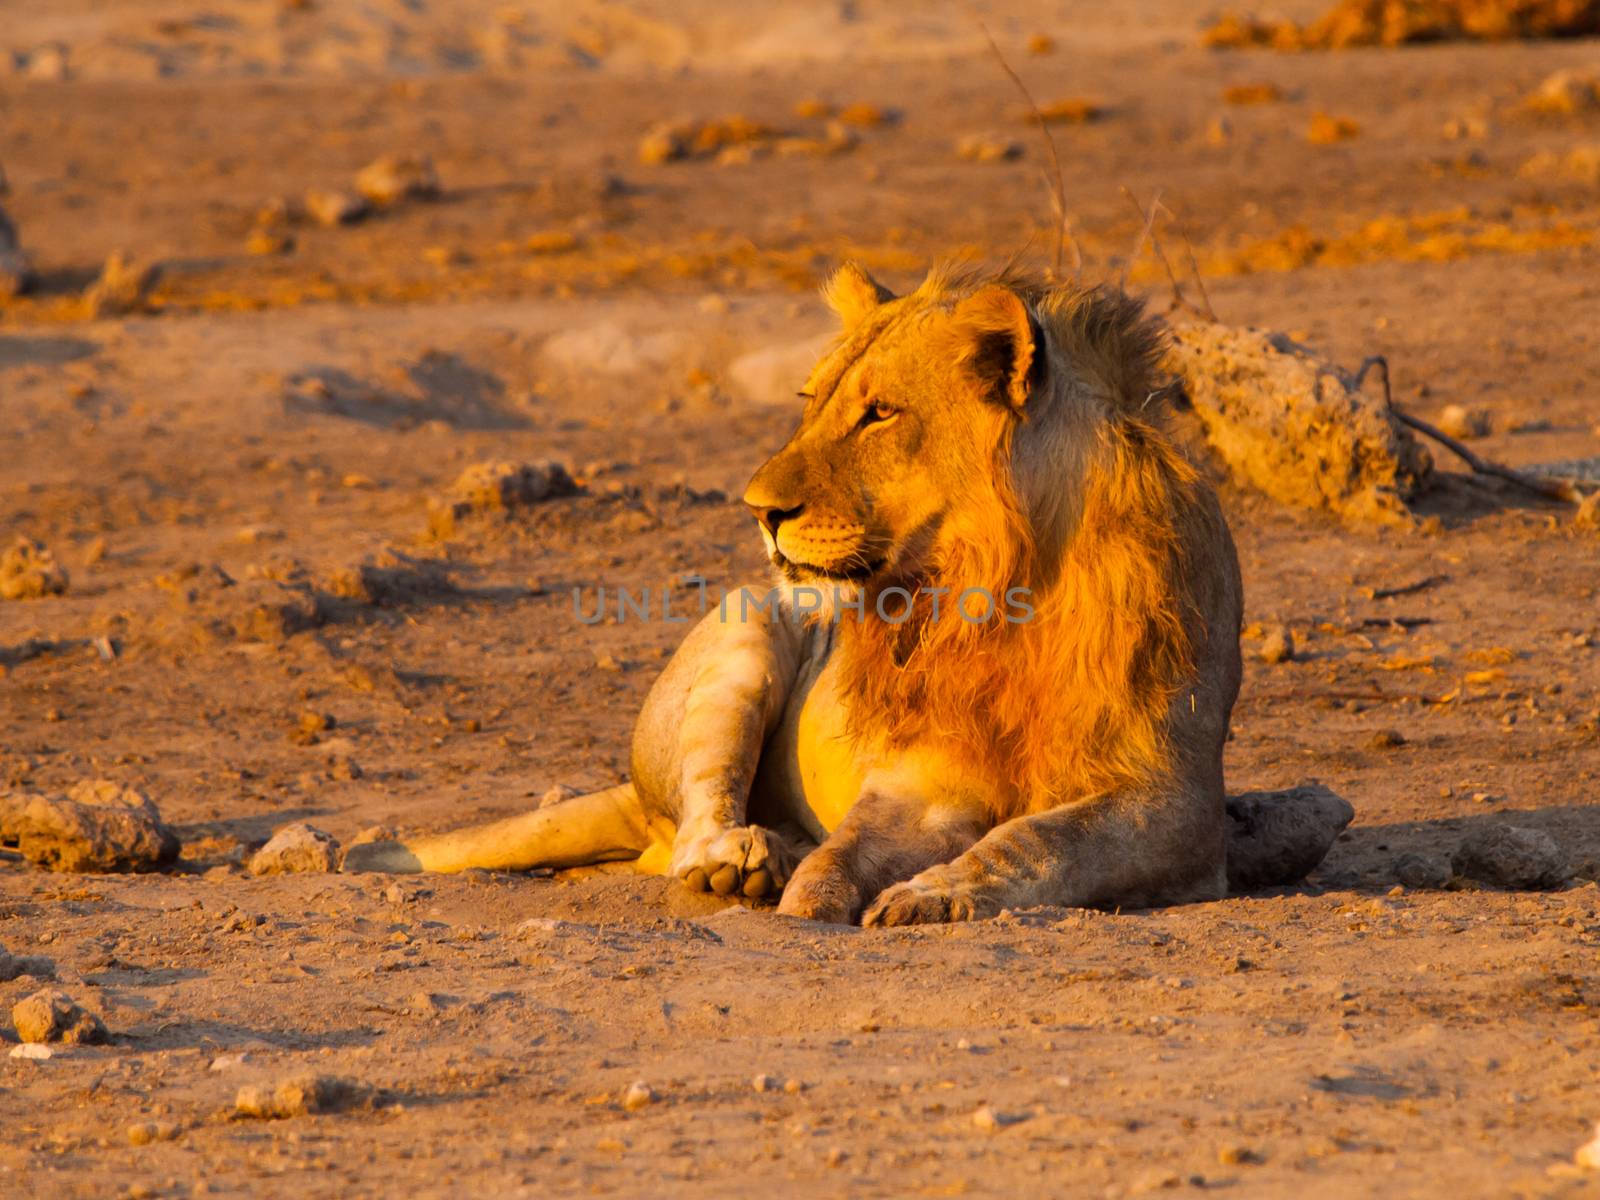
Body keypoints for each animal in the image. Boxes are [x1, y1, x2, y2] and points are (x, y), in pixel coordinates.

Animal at [344, 260, 1344, 921]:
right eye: (812, 400)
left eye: (878, 413)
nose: (758, 509)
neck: (997, 588)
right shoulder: (923, 779)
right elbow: (851, 846)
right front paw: (812, 892)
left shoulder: (1170, 800)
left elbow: (1038, 839)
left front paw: (932, 892)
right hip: (746, 625)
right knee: (693, 822)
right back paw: (745, 861)